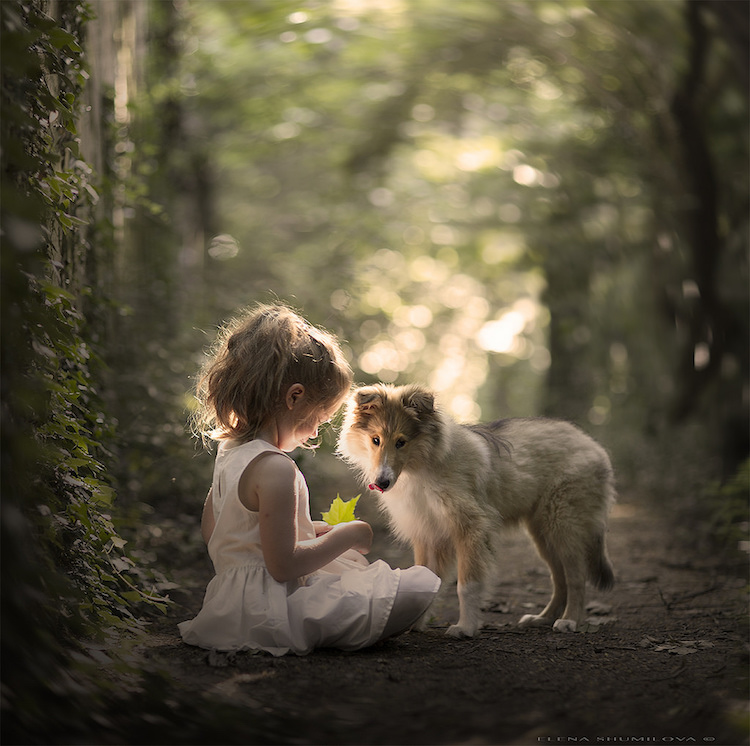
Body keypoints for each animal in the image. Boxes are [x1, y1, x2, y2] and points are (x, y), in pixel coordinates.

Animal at [340, 384, 616, 632]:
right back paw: (543, 618)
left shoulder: (470, 528)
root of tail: (591, 443)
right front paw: (413, 623)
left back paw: (569, 621)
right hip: (542, 534)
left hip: (563, 525)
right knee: (559, 579)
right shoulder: (427, 534)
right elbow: (425, 579)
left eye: (401, 442)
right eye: (375, 440)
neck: (421, 468)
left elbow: (466, 585)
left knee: (576, 577)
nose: (381, 482)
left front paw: (465, 627)